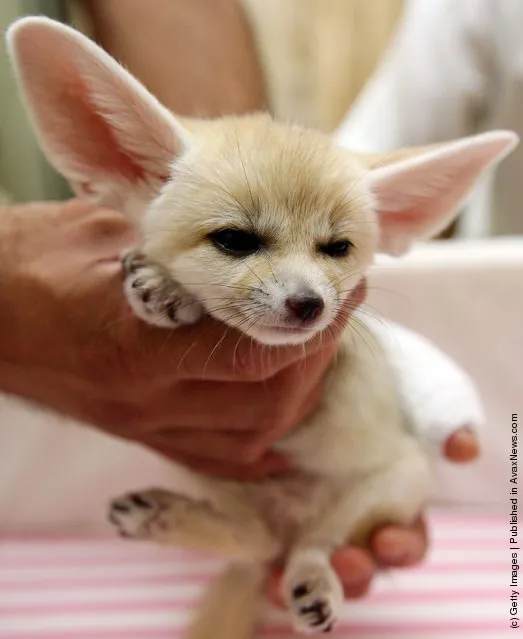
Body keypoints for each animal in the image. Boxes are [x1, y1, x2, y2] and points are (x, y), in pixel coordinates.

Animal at [8, 17, 520, 636]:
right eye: (234, 239)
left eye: (337, 248)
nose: (309, 306)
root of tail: (290, 519)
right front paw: (164, 283)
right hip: (219, 482)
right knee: (256, 542)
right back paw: (167, 517)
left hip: (393, 481)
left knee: (306, 546)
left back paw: (310, 578)